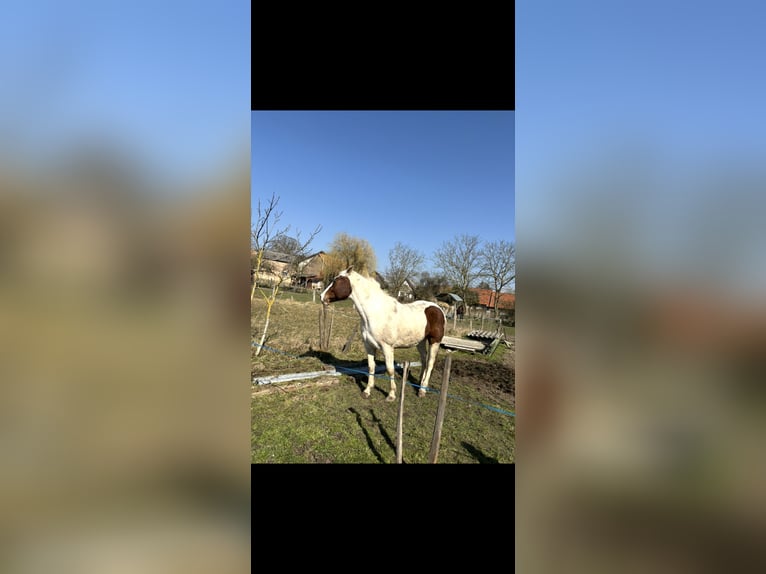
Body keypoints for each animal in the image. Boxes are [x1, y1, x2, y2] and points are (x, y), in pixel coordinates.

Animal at [320, 266, 445, 401]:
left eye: (337, 281)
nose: (322, 297)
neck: (375, 312)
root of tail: (438, 308)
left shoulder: (387, 347)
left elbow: (390, 369)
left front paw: (391, 395)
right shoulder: (369, 346)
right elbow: (371, 367)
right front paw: (367, 391)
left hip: (434, 341)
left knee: (430, 363)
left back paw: (422, 390)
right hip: (420, 342)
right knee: (424, 360)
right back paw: (419, 384)